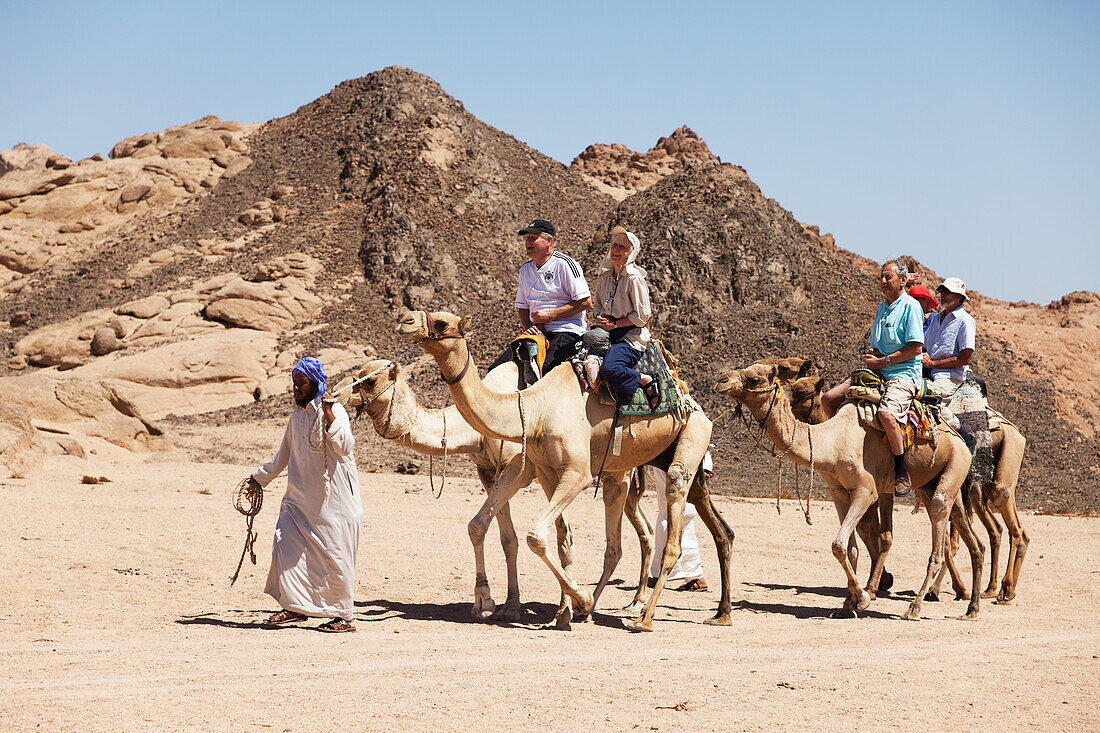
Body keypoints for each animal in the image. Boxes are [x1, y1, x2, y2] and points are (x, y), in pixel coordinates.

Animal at [396, 308, 730, 629]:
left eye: (442, 322)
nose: (404, 320)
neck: (535, 408)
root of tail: (687, 395)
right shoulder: (542, 470)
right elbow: (544, 538)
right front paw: (555, 610)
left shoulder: (572, 473)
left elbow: (535, 536)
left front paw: (571, 601)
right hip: (647, 464)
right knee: (692, 531)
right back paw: (717, 613)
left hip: (691, 433)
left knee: (670, 520)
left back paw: (643, 616)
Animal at [717, 358, 985, 616]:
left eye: (754, 378)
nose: (721, 380)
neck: (833, 443)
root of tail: (961, 437)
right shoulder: (839, 492)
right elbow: (851, 548)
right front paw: (848, 605)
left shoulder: (866, 492)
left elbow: (839, 544)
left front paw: (864, 598)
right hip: (931, 484)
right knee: (970, 540)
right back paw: (971, 608)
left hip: (954, 467)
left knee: (939, 541)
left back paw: (916, 607)